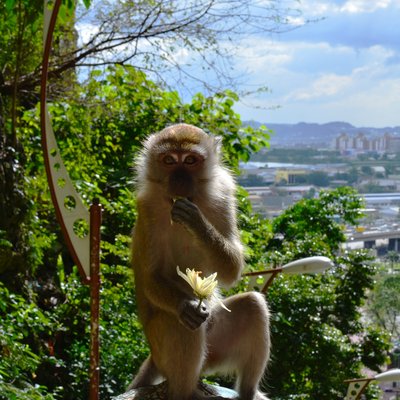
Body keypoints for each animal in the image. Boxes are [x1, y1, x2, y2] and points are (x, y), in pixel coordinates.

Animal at [130, 123, 270, 398]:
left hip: (215, 345)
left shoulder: (224, 192)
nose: (179, 181)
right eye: (169, 160)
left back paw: (248, 391)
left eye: (190, 160)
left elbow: (232, 269)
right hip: (163, 352)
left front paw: (197, 222)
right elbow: (151, 277)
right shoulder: (146, 206)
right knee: (182, 323)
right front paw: (185, 305)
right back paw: (184, 391)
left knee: (253, 305)